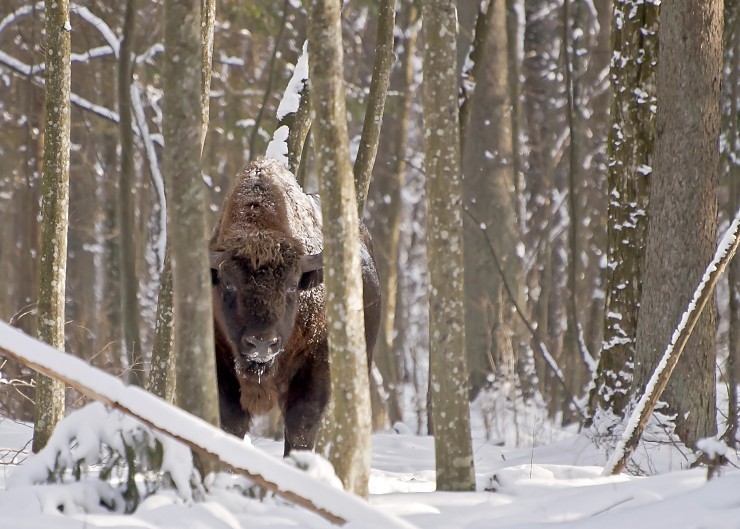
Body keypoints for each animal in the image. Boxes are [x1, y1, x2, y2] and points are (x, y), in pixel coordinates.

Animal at [210, 157, 378, 454]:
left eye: (291, 286)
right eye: (229, 285)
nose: (262, 343)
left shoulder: (315, 369)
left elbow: (301, 427)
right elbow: (232, 422)